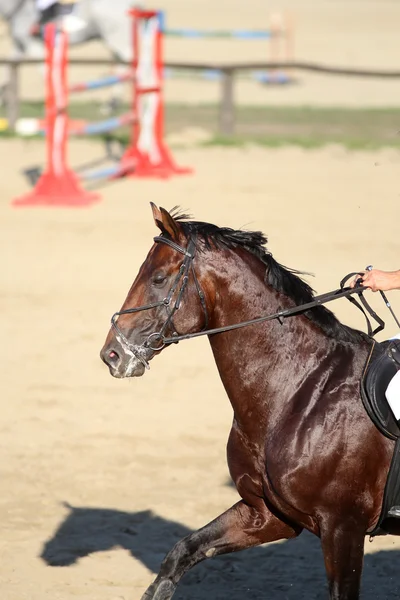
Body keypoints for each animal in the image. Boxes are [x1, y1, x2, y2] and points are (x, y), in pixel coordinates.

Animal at [101, 204, 400, 596]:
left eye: (159, 279)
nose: (112, 355)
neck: (299, 390)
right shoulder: (268, 514)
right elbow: (182, 552)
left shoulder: (342, 527)